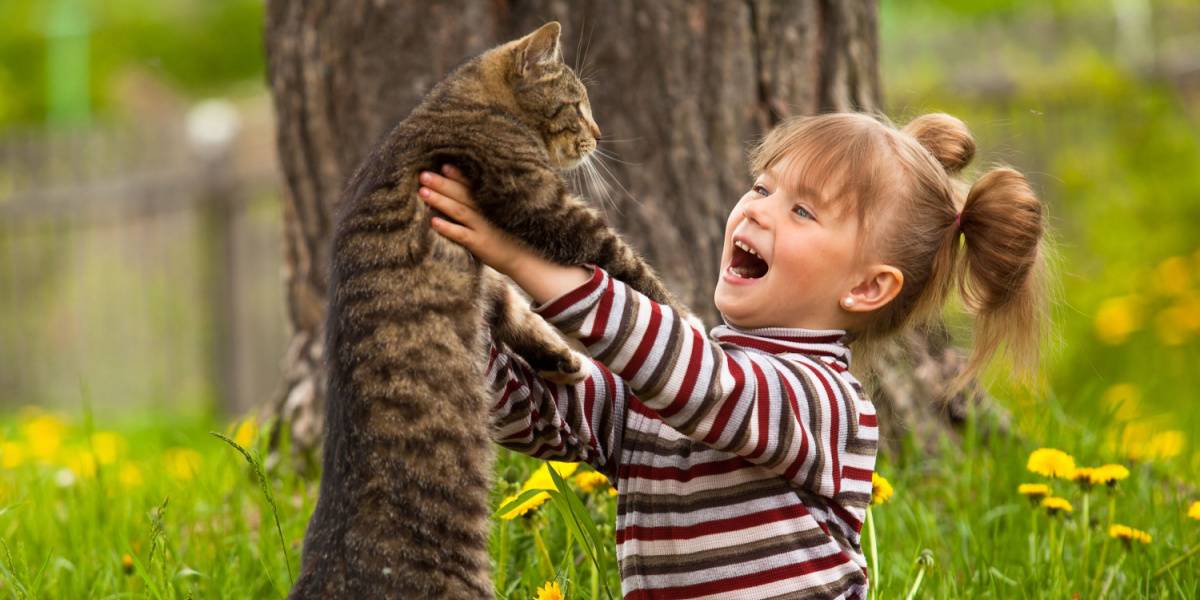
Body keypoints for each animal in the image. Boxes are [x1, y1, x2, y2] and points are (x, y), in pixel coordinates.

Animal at [289, 21, 686, 597]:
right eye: (577, 103)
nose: (600, 132)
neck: (468, 103)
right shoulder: (542, 202)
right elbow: (623, 261)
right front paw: (686, 318)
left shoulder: (491, 267)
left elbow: (514, 308)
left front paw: (560, 360)